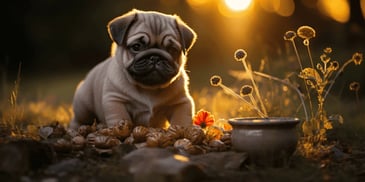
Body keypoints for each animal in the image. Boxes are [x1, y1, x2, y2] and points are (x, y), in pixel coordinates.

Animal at [70, 9, 198, 129]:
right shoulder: (115, 100)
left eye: (172, 50)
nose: (155, 57)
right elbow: (120, 117)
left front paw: (181, 131)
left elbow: (181, 120)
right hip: (84, 106)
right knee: (79, 119)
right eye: (136, 47)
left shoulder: (182, 102)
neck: (149, 88)